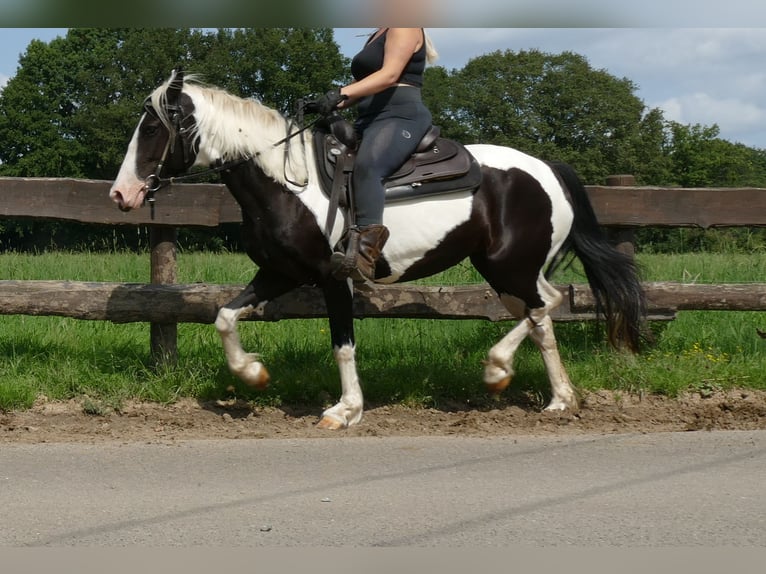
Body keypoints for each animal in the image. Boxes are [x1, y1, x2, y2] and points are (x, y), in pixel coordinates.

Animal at [109, 70, 648, 430]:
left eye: (152, 128)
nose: (121, 194)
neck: (288, 182)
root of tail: (547, 168)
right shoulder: (278, 273)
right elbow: (224, 316)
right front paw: (254, 374)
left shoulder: (332, 276)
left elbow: (343, 344)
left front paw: (345, 410)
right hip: (505, 270)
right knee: (542, 314)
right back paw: (553, 395)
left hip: (508, 266)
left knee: (544, 307)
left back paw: (508, 374)